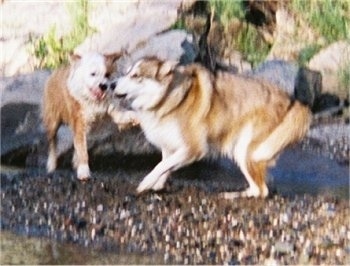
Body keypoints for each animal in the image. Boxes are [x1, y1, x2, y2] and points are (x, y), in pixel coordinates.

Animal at [43, 51, 136, 181]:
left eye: (107, 75)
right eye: (93, 74)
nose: (103, 86)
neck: (93, 101)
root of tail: (54, 72)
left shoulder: (113, 110)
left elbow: (123, 116)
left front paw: (135, 117)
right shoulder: (79, 121)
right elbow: (82, 149)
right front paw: (83, 171)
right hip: (52, 122)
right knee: (52, 143)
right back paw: (51, 165)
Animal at [113, 57, 312, 197]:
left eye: (136, 76)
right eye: (127, 72)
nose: (110, 84)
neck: (168, 98)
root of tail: (294, 104)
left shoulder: (194, 149)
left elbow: (161, 166)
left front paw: (146, 183)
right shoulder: (169, 146)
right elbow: (164, 166)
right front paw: (157, 185)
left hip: (242, 150)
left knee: (261, 191)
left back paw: (233, 196)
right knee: (258, 188)